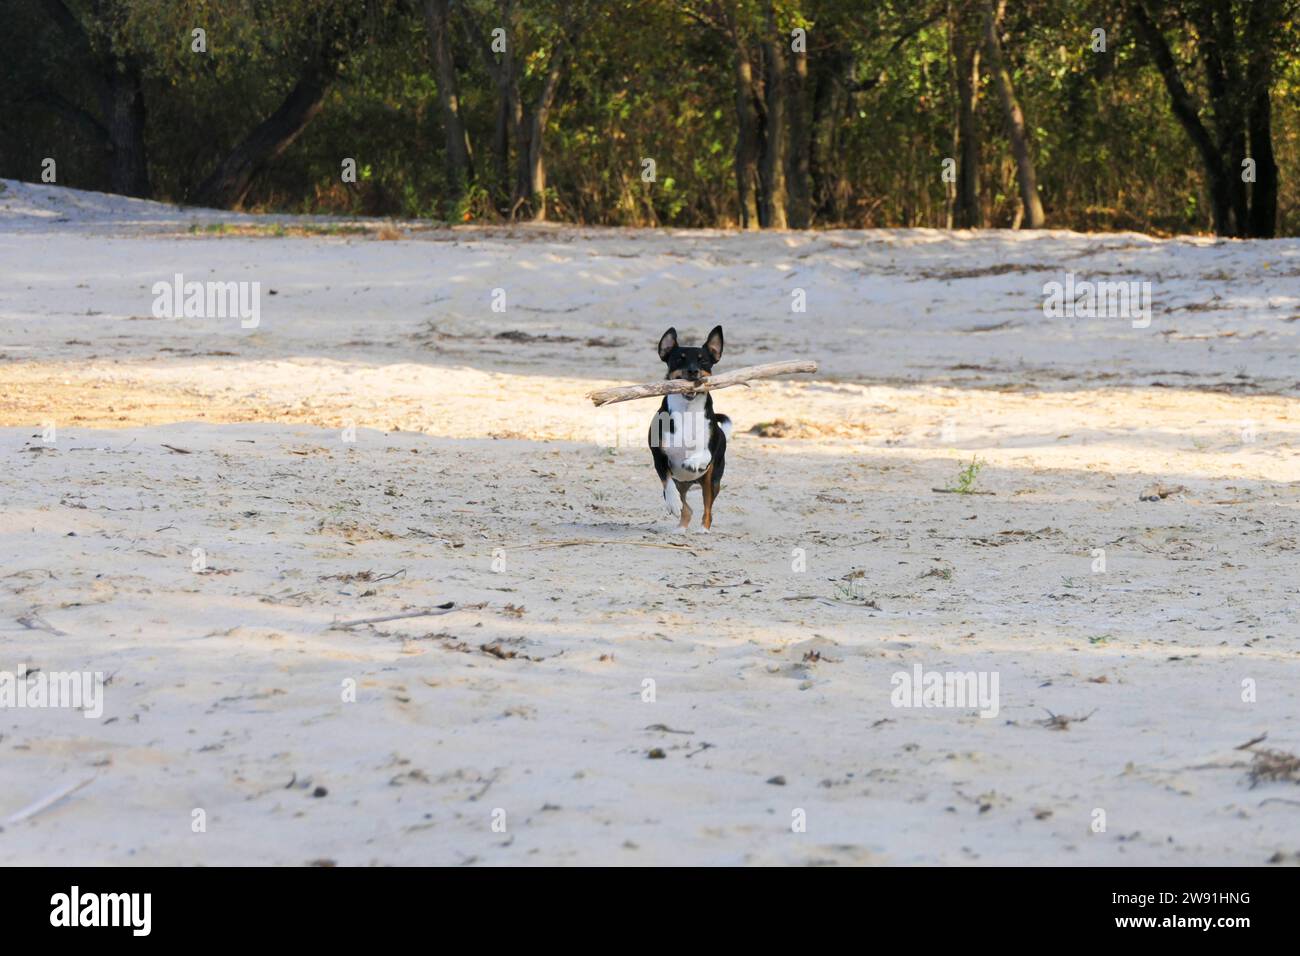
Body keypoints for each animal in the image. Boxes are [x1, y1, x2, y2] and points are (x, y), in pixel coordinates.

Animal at [647, 325, 733, 528]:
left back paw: (703, 530)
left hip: (712, 481)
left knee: (707, 510)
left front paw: (692, 462)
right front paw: (672, 502)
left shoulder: (709, 453)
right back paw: (679, 528)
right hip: (682, 485)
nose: (693, 371)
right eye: (679, 359)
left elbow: (701, 454)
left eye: (704, 361)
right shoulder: (659, 455)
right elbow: (666, 481)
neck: (687, 409)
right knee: (686, 508)